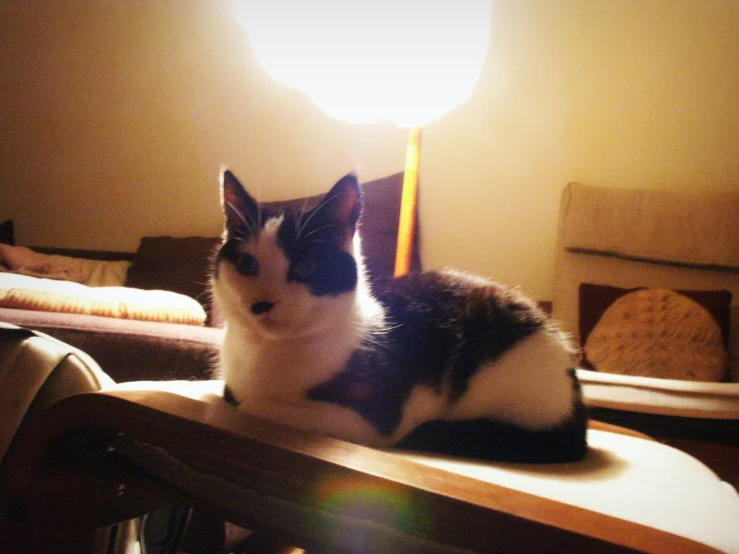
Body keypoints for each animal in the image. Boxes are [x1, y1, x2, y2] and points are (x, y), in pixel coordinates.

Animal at [211, 169, 588, 462]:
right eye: (247, 264)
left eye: (307, 267)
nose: (262, 303)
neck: (269, 352)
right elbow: (231, 392)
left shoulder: (373, 419)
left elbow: (250, 404)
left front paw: (252, 402)